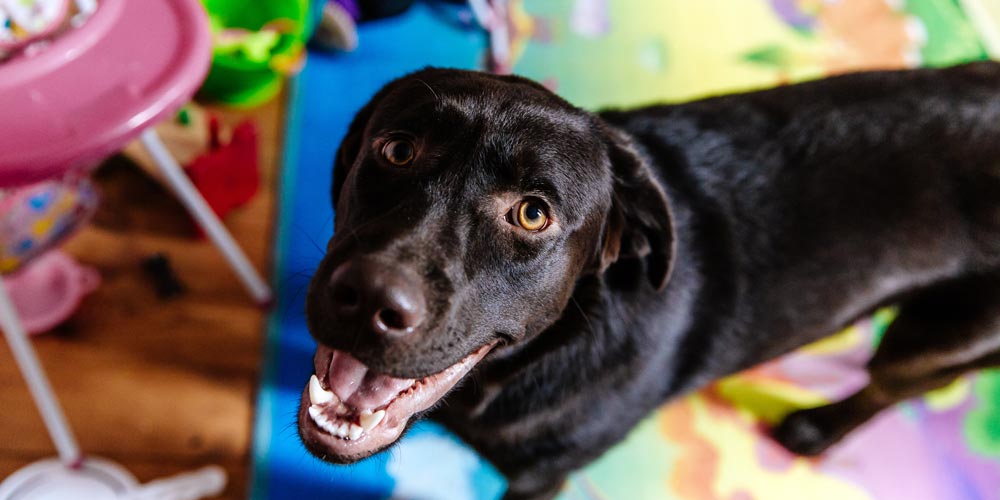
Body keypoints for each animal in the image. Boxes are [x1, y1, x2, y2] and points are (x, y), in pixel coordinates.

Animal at [300, 62, 1000, 500]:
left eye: (533, 213)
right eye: (397, 149)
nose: (368, 298)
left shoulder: (541, 478)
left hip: (938, 338)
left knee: (893, 385)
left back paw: (817, 430)